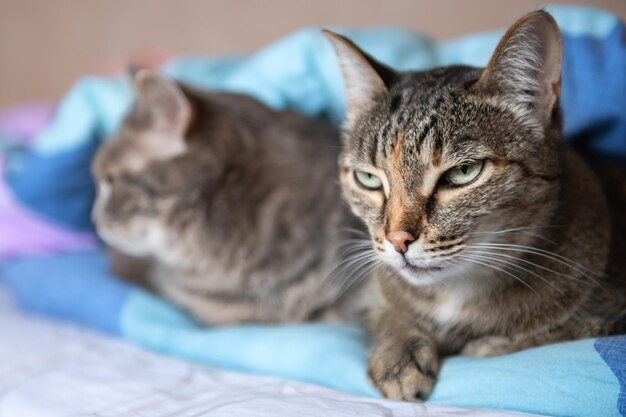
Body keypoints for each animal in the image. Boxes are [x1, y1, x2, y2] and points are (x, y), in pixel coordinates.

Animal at [324, 9, 624, 400]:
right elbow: (389, 313)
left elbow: (558, 332)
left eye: (462, 173)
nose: (397, 240)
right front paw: (398, 351)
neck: (456, 294)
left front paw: (487, 344)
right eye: (369, 179)